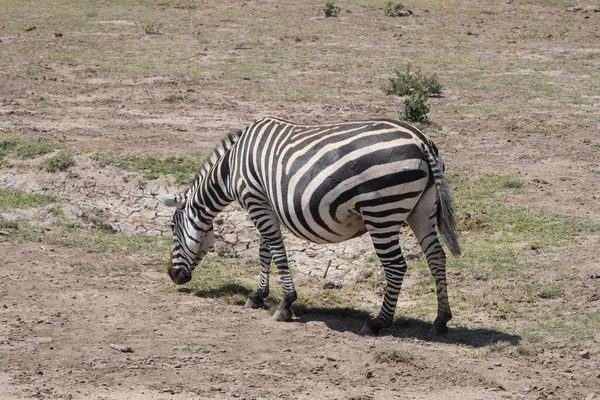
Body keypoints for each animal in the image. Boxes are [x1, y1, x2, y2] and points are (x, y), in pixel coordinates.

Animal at [155, 117, 460, 336]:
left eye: (172, 228)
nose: (172, 276)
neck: (231, 169)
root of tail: (420, 139)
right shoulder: (267, 205)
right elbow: (265, 252)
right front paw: (258, 296)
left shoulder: (256, 200)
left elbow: (276, 252)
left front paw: (285, 304)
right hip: (421, 209)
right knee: (436, 258)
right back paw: (440, 320)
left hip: (381, 211)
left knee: (396, 267)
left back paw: (377, 323)